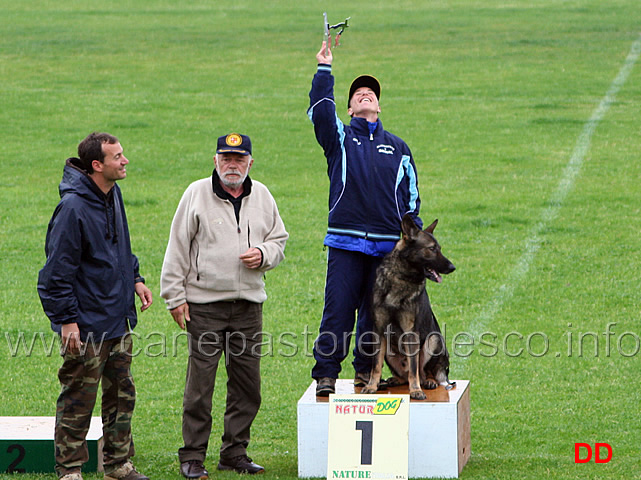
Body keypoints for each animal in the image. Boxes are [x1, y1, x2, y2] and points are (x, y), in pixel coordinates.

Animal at [360, 216, 456, 400]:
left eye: (439, 248)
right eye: (432, 249)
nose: (452, 267)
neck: (401, 278)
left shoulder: (410, 333)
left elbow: (413, 368)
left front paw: (416, 390)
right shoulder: (379, 330)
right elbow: (376, 365)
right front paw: (371, 386)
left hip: (433, 340)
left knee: (424, 371)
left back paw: (428, 381)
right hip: (389, 348)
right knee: (404, 375)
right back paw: (395, 380)